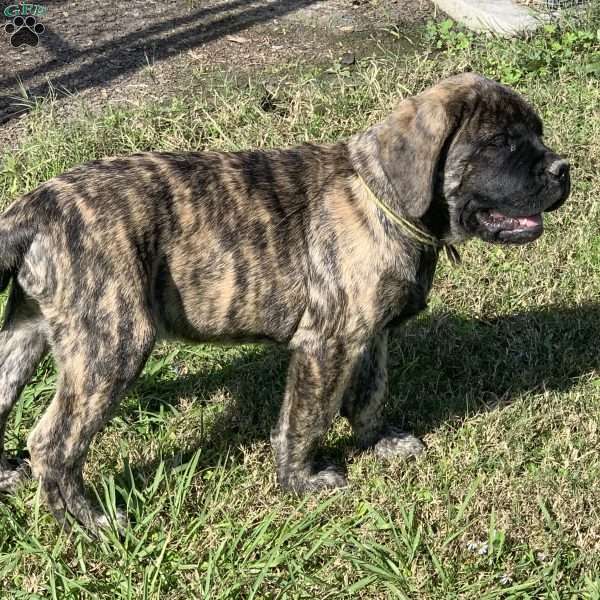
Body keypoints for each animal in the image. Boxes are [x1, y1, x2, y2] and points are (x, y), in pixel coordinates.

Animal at [0, 72, 572, 528]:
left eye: (538, 133)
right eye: (500, 144)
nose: (563, 168)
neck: (382, 200)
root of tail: (34, 208)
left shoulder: (370, 336)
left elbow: (369, 393)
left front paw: (378, 442)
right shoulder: (326, 344)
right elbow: (306, 417)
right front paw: (301, 481)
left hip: (27, 331)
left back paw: (10, 474)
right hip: (112, 344)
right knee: (53, 442)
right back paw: (86, 523)